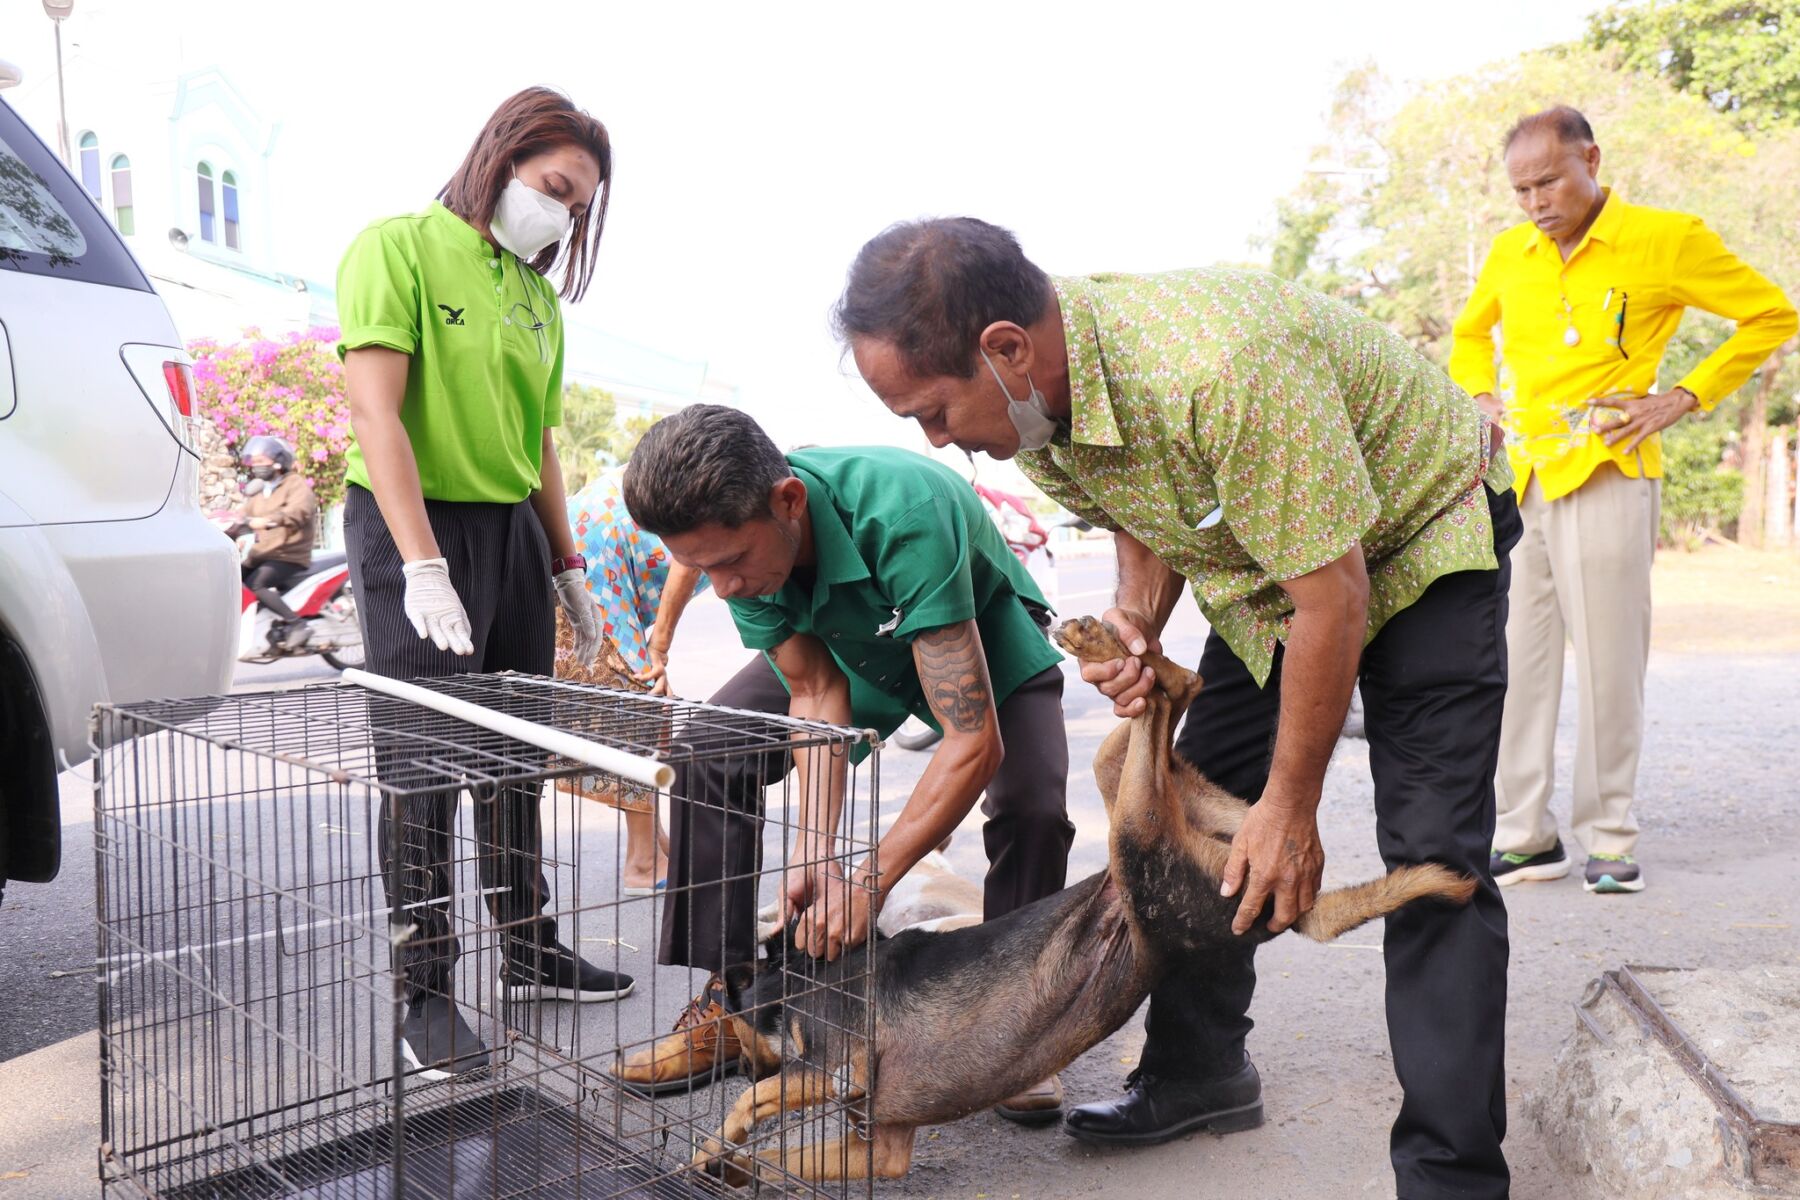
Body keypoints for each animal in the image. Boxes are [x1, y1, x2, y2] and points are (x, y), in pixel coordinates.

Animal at [691, 626, 1476, 1187]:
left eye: (723, 1014)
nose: (736, 1059)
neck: (795, 977)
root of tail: (1262, 880)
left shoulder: (836, 1070)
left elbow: (754, 1102)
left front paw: (714, 1144)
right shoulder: (879, 1146)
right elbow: (781, 1155)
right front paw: (729, 1163)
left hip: (1137, 838)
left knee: (1174, 695)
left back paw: (1102, 645)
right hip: (1159, 808)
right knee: (1168, 701)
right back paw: (1126, 655)